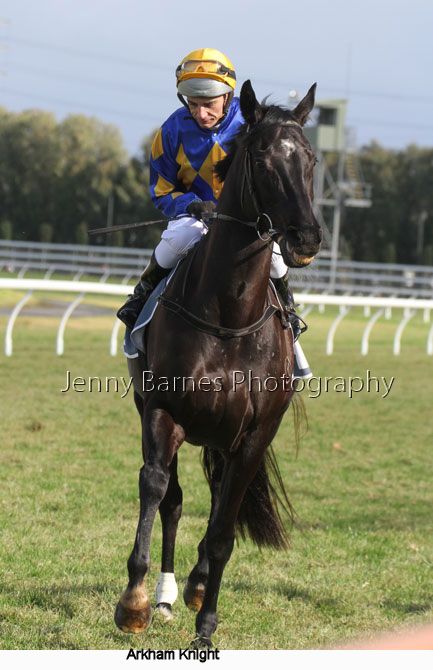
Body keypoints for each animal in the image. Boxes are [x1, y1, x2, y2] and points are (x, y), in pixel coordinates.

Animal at [114, 79, 322, 648]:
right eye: (263, 159)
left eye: (312, 159)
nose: (306, 238)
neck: (229, 315)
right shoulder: (163, 411)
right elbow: (156, 488)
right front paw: (135, 602)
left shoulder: (253, 435)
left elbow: (225, 527)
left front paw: (206, 627)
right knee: (176, 499)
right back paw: (165, 595)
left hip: (224, 438)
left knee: (215, 502)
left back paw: (199, 584)